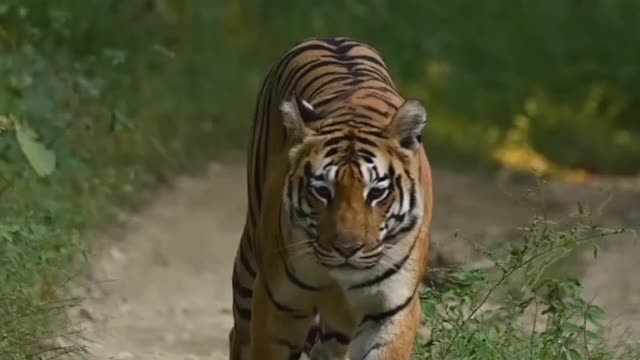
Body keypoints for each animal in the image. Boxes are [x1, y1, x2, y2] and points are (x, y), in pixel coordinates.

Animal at [228, 37, 432, 360]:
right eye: (322, 191)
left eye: (377, 192)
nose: (346, 249)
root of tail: (333, 39)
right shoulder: (278, 304)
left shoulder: (390, 309)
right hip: (249, 264)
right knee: (239, 333)